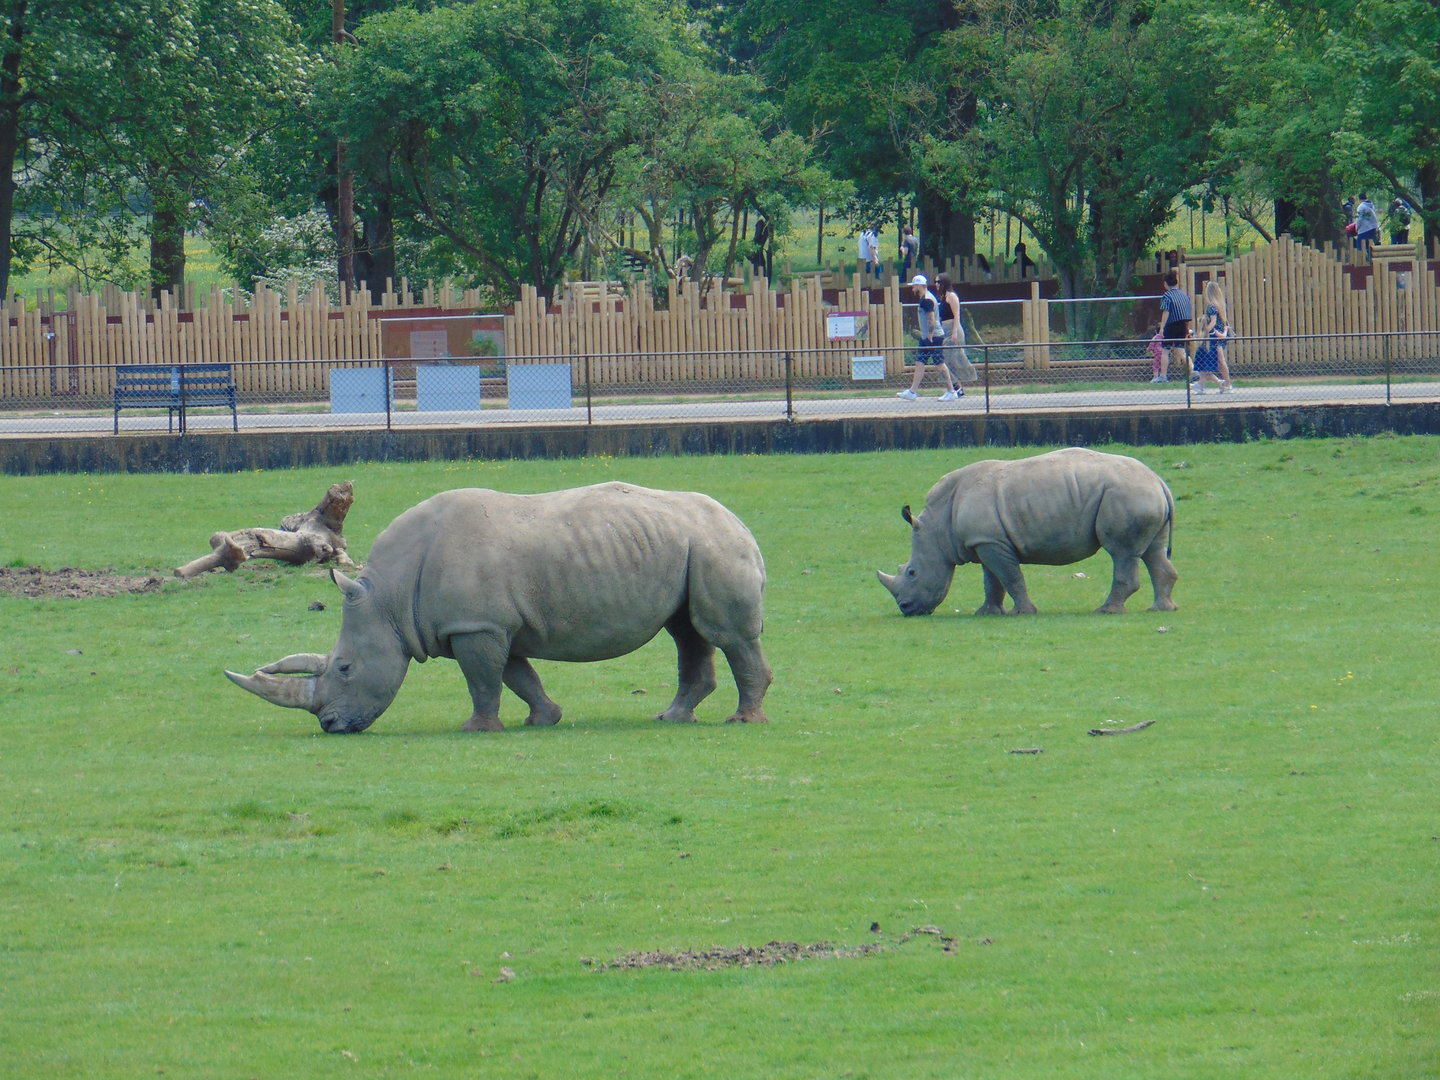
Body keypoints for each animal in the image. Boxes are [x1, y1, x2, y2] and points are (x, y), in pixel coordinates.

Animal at [226, 482, 772, 733]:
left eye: (344, 667)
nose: (330, 725)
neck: (389, 599)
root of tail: (742, 524)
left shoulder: (475, 625)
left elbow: (483, 680)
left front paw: (476, 730)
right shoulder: (488, 624)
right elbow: (516, 674)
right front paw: (543, 720)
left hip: (713, 545)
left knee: (724, 634)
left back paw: (742, 721)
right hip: (689, 545)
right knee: (687, 631)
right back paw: (671, 718)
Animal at [877, 448, 1178, 616]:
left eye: (912, 572)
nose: (905, 609)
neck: (937, 526)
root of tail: (1158, 480)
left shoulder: (991, 542)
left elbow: (1010, 577)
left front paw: (1023, 612)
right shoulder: (985, 541)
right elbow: (992, 581)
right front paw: (987, 613)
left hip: (1126, 495)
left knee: (1122, 552)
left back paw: (1107, 611)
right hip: (1141, 495)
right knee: (1153, 551)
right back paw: (1161, 609)